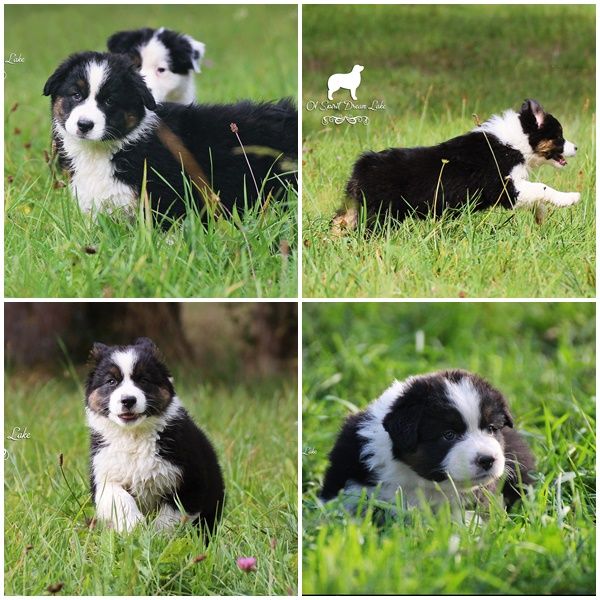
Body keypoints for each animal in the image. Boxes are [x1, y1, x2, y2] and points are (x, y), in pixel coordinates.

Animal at [85, 338, 224, 536]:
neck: (133, 436)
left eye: (144, 380)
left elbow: (171, 515)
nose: (128, 400)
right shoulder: (104, 475)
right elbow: (119, 499)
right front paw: (133, 527)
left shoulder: (191, 479)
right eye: (111, 381)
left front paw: (158, 536)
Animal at [336, 98, 580, 232]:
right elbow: (542, 187)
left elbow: (537, 196)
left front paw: (540, 217)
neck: (515, 141)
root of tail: (364, 163)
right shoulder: (504, 187)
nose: (577, 147)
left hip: (356, 206)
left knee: (340, 222)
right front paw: (570, 198)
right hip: (380, 213)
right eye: (559, 136)